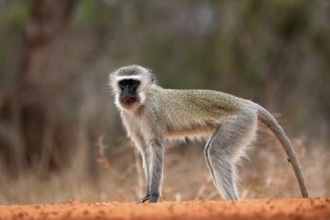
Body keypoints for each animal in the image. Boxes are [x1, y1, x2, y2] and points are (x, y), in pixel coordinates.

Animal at [109, 65, 310, 203]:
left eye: (134, 83)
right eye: (123, 83)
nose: (126, 92)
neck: (142, 103)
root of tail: (248, 104)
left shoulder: (153, 113)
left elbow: (156, 147)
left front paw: (154, 195)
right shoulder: (127, 116)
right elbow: (145, 151)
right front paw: (147, 192)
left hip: (240, 123)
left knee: (216, 152)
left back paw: (233, 202)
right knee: (210, 152)